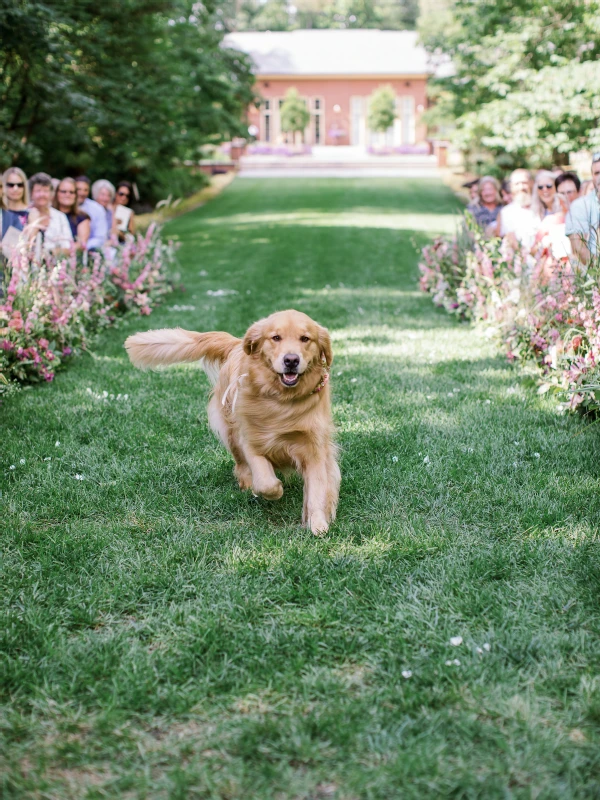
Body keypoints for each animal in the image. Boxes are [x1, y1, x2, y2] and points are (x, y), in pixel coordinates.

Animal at [124, 310, 340, 536]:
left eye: (305, 339)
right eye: (276, 337)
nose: (291, 360)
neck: (282, 402)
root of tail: (237, 344)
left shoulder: (315, 449)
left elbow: (318, 489)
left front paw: (317, 523)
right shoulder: (251, 439)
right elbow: (266, 481)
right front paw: (274, 490)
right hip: (232, 432)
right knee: (241, 465)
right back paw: (247, 485)